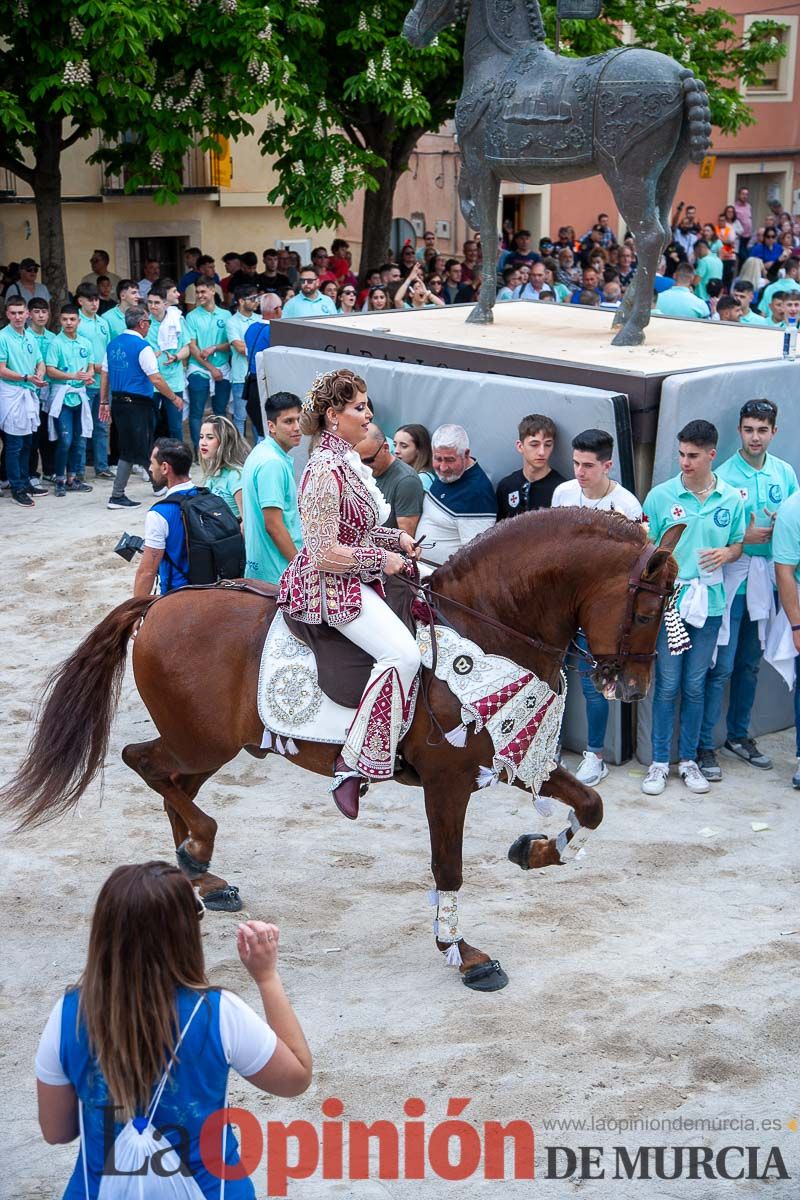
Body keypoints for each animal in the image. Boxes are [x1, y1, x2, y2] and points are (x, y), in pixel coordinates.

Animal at [6, 511, 681, 988]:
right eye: (648, 609)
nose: (632, 688)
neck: (486, 625)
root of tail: (163, 601)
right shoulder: (448, 781)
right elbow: (448, 867)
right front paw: (464, 955)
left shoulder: (508, 757)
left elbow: (590, 805)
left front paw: (533, 849)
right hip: (200, 741)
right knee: (146, 766)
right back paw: (198, 852)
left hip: (209, 746)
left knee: (170, 783)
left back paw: (200, 877)